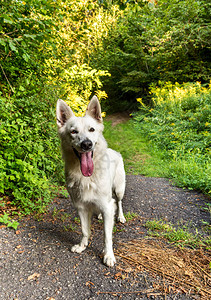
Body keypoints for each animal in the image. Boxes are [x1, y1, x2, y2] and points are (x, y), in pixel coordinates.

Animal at [56, 96, 125, 268]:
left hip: (119, 189)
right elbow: (84, 230)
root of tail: (115, 151)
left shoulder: (107, 205)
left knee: (119, 202)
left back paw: (120, 216)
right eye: (73, 131)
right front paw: (82, 246)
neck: (87, 177)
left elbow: (107, 236)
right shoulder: (81, 206)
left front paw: (108, 255)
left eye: (92, 130)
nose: (86, 144)